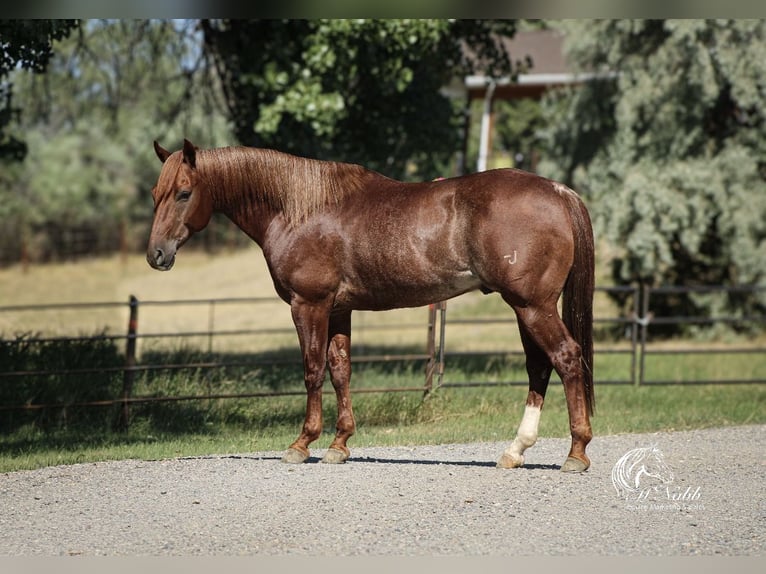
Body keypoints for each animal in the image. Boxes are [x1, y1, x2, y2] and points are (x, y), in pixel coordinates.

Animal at [146, 139, 595, 472]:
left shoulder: (309, 305)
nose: (156, 255)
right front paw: (339, 444)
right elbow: (340, 370)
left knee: (566, 358)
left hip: (532, 306)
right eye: (155, 194)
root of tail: (559, 192)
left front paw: (302, 443)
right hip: (528, 308)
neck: (300, 209)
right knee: (539, 367)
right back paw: (515, 452)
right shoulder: (338, 310)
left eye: (184, 193)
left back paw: (576, 453)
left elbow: (312, 370)